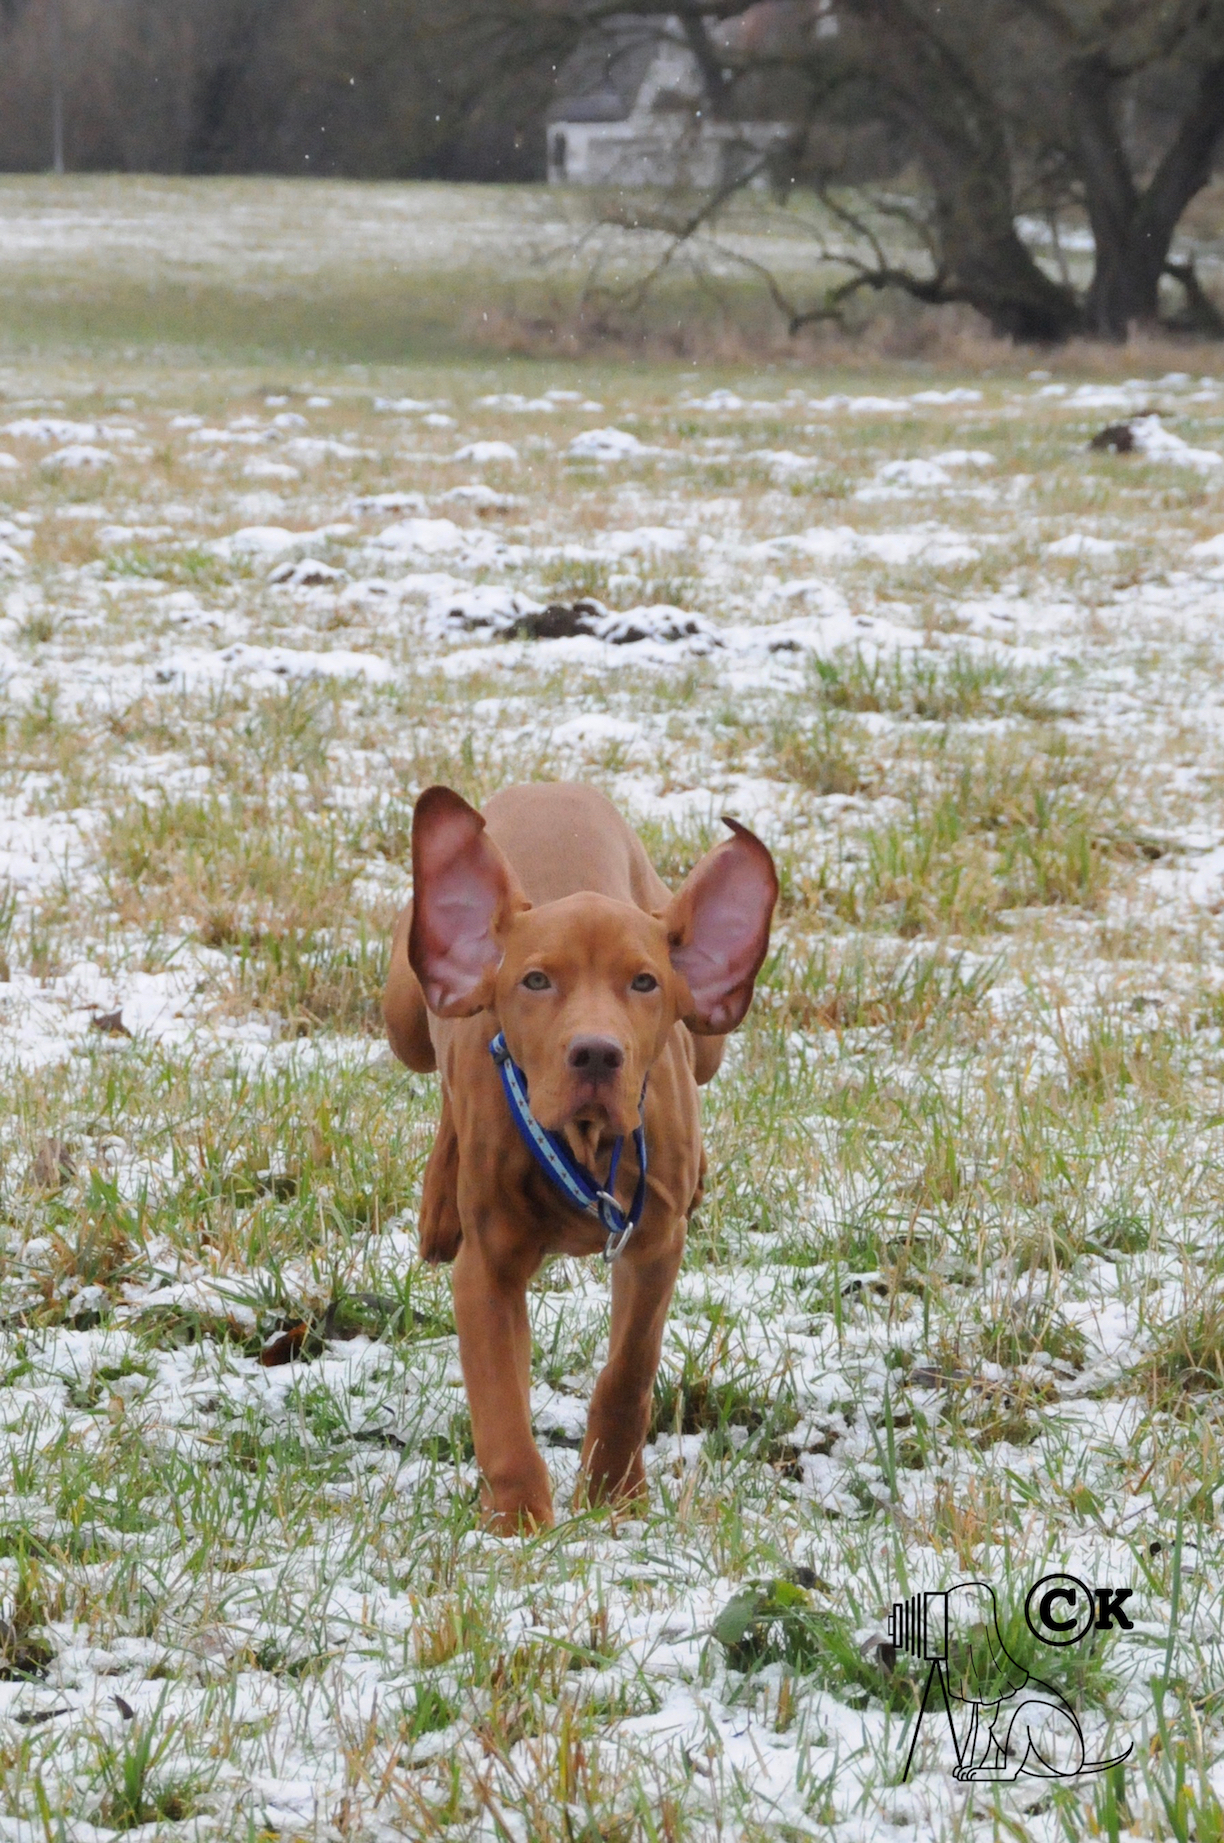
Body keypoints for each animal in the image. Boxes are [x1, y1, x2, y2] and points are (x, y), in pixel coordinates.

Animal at [385, 777, 774, 1526]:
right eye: (536, 981)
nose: (596, 1053)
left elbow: (628, 1371)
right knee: (438, 1086)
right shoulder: (488, 1274)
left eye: (645, 982)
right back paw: (438, 1207)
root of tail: (549, 783)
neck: (586, 1146)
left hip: (708, 1039)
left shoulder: (652, 1249)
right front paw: (517, 1520)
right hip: (407, 1014)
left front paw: (612, 1491)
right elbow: (500, 1402)